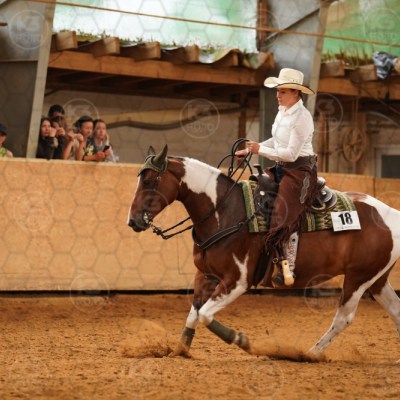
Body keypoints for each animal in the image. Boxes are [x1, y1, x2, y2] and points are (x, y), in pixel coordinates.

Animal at [127, 145, 400, 360]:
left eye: (150, 181)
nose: (133, 221)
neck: (225, 211)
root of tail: (392, 215)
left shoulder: (237, 281)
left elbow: (204, 315)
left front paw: (241, 340)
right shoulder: (205, 276)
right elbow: (193, 315)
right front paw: (179, 351)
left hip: (358, 278)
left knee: (344, 318)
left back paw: (309, 354)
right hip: (377, 280)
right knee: (396, 310)